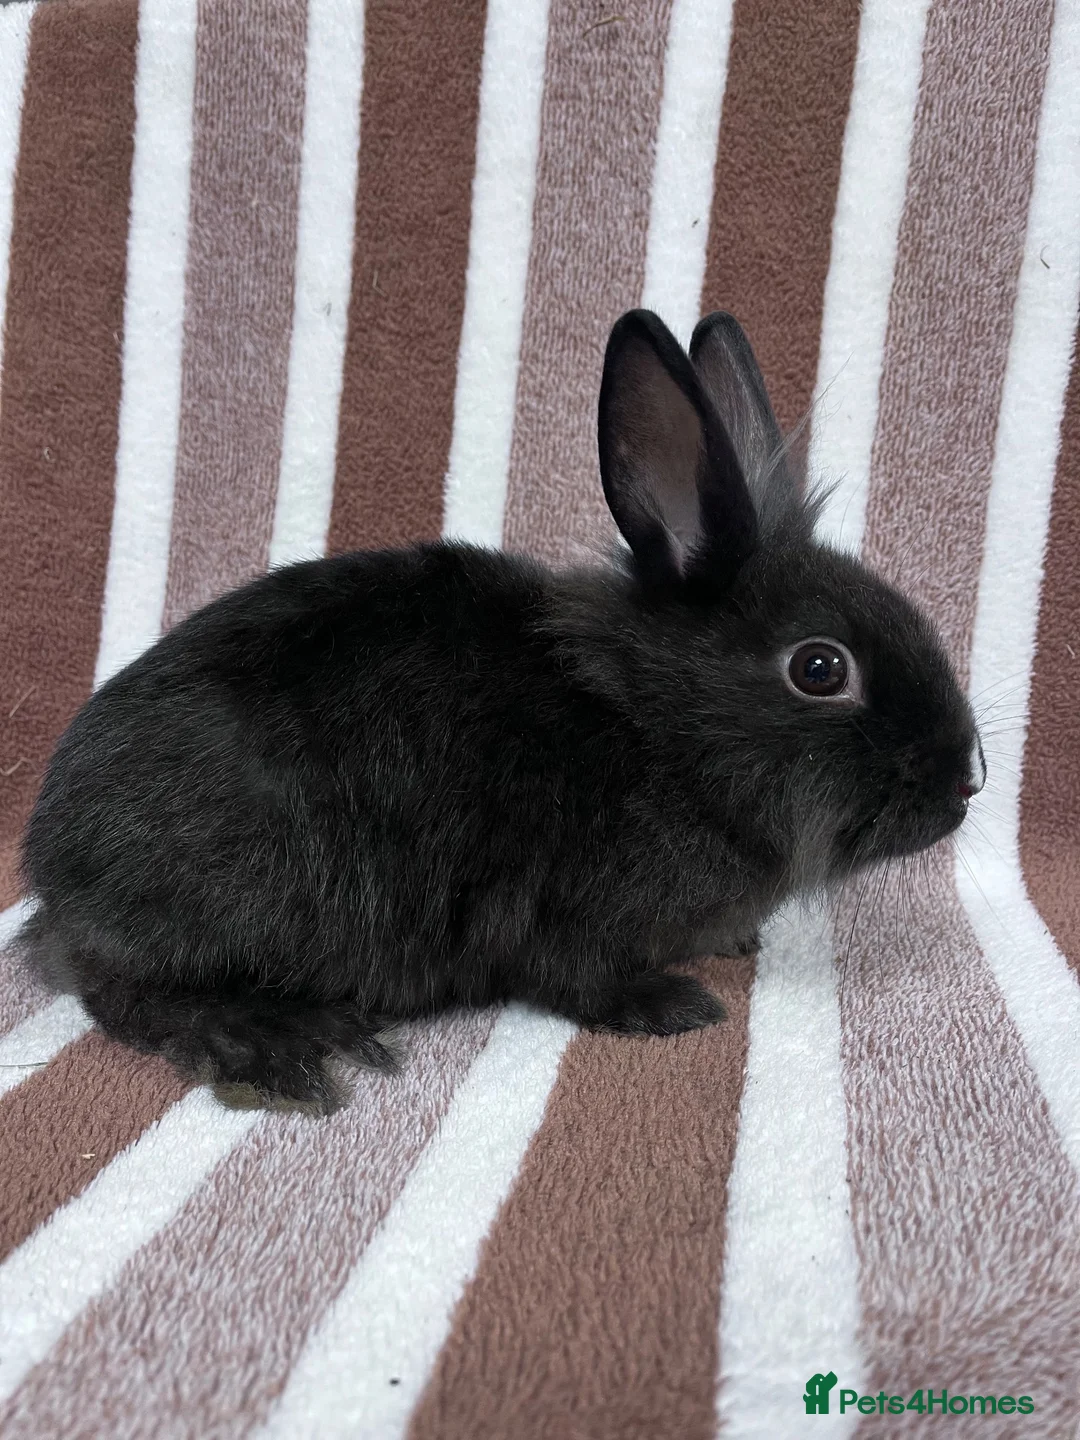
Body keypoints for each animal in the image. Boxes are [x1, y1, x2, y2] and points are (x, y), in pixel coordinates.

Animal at [18, 309, 985, 1113]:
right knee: (121, 993)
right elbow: (576, 978)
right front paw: (671, 1003)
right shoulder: (561, 911)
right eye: (820, 668)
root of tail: (53, 873)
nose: (966, 780)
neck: (658, 727)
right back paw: (274, 1034)